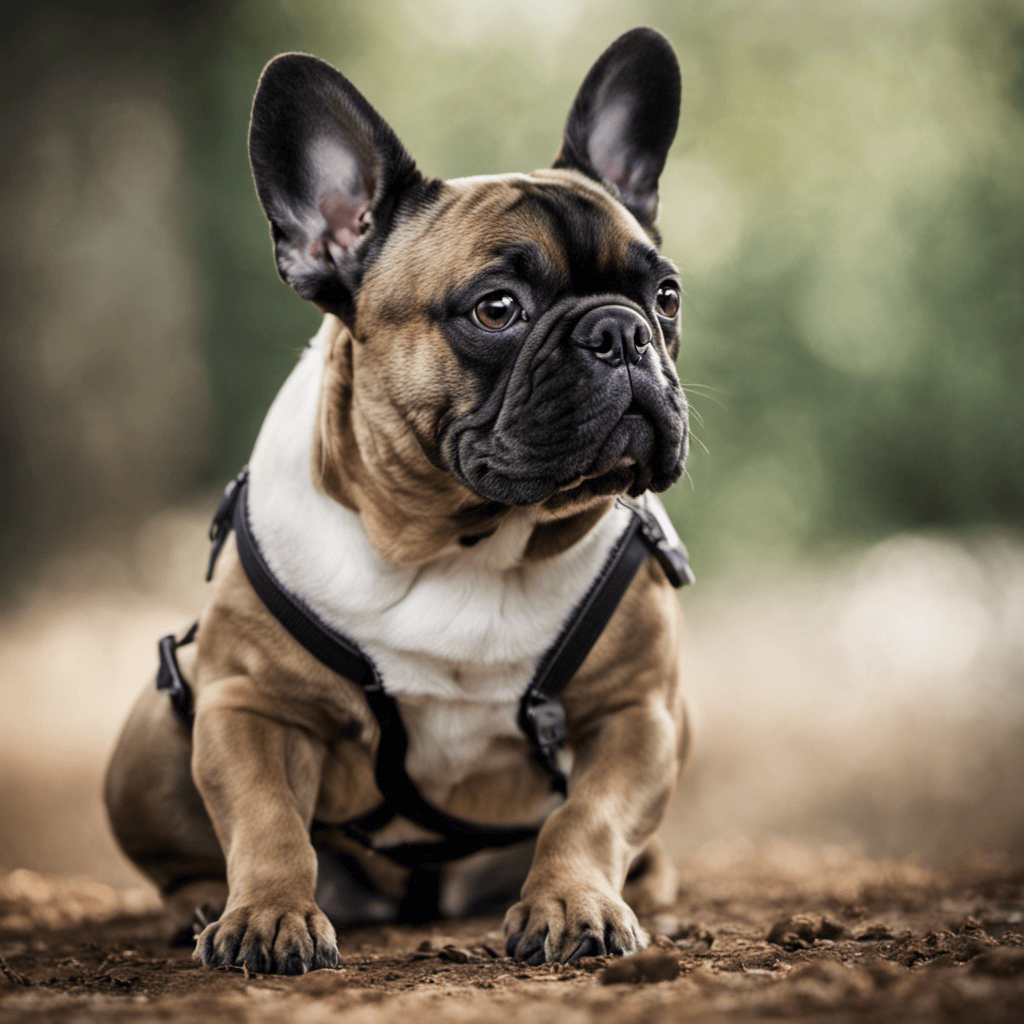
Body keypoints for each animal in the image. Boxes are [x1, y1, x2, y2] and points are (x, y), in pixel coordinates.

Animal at [105, 28, 688, 974]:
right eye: (496, 308)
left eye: (667, 297)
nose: (622, 331)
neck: (469, 544)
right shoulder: (245, 703)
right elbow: (267, 820)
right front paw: (268, 914)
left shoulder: (641, 715)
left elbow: (587, 816)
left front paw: (572, 902)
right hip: (156, 731)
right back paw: (197, 906)